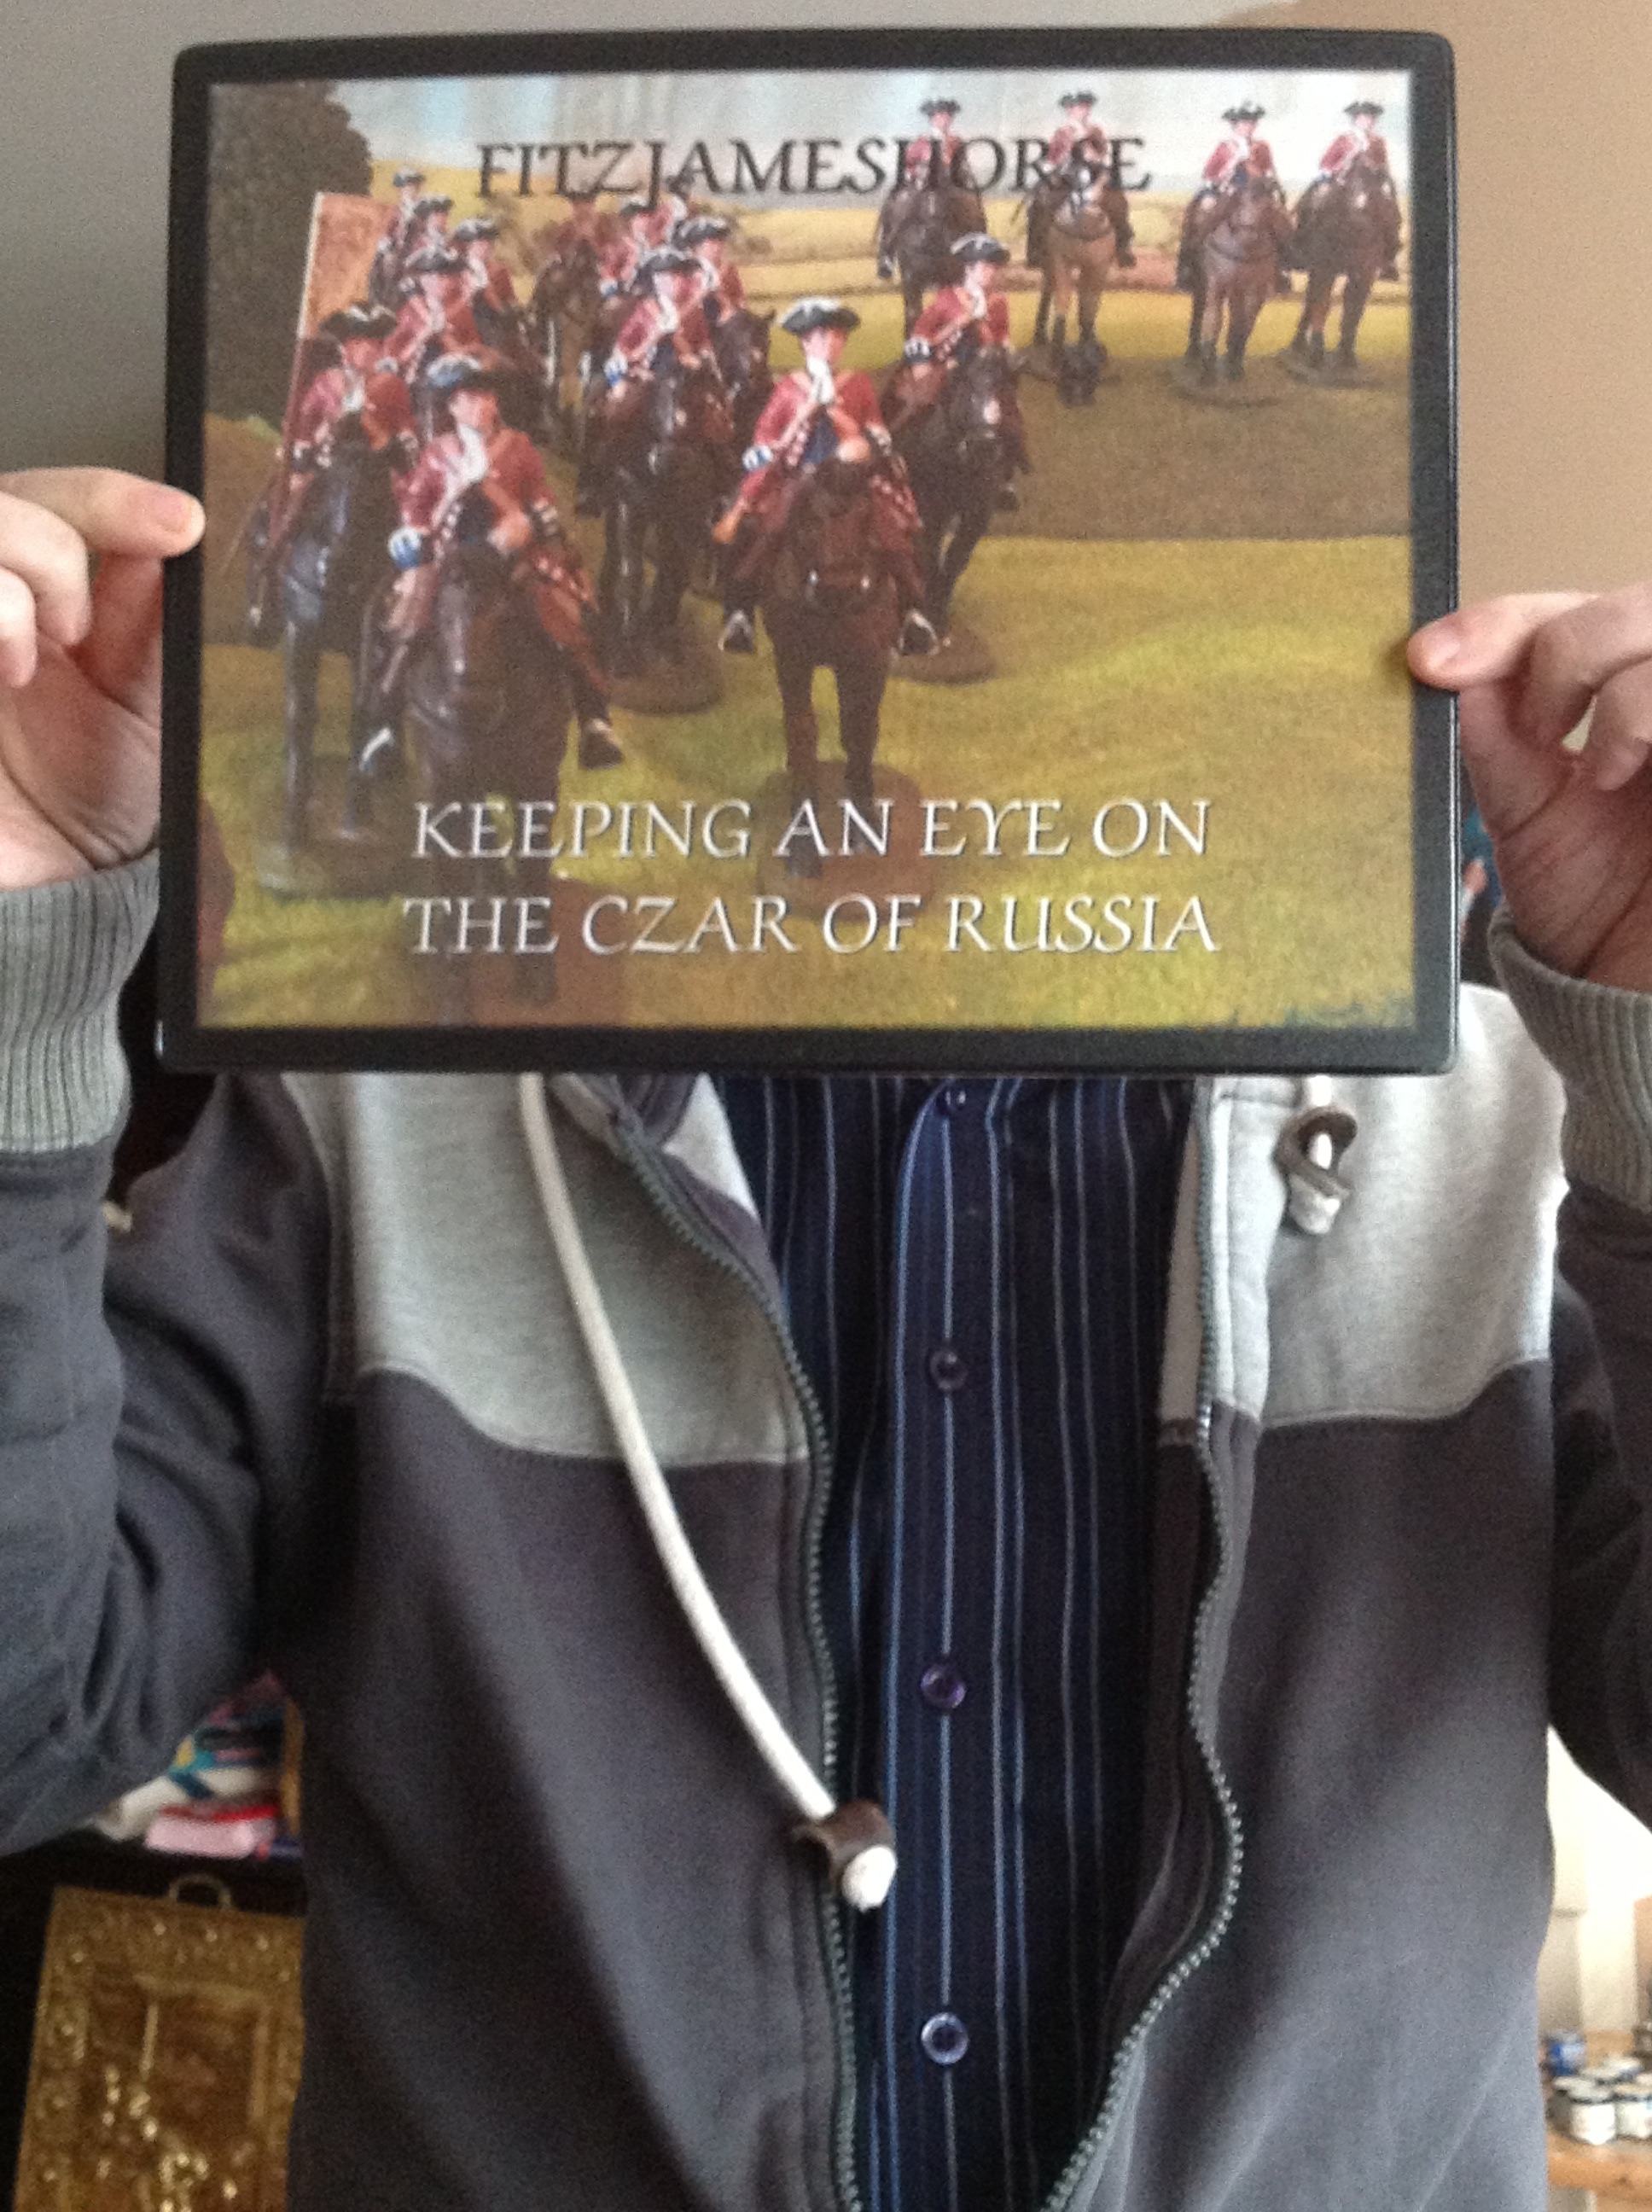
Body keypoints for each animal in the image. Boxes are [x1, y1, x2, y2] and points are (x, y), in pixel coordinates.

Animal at [596, 349, 730, 674]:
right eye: (660, 396)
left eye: (708, 404)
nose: (668, 460)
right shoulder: (630, 504)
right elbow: (632, 570)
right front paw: (626, 648)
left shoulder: (685, 522)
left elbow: (674, 575)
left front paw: (660, 637)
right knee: (614, 549)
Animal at [757, 458, 903, 861]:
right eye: (808, 515)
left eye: (868, 512)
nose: (839, 585)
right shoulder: (791, 659)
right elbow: (802, 730)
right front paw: (804, 837)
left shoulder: (870, 661)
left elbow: (861, 729)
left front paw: (865, 814)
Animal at [894, 342, 1019, 639]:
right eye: (964, 384)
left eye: (1005, 387)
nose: (983, 445)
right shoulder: (928, 508)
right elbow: (929, 556)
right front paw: (927, 613)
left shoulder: (978, 513)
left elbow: (956, 559)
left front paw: (938, 613)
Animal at [1185, 170, 1287, 383]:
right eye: (1241, 200)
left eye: (1269, 205)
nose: (1249, 234)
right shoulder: (1218, 284)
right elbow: (1215, 320)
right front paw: (1208, 368)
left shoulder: (1256, 289)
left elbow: (1246, 323)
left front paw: (1236, 362)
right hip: (1201, 280)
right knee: (1199, 307)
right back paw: (1193, 351)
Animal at [1287, 166, 1388, 374]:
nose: (1361, 224)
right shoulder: (1325, 267)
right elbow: (1324, 303)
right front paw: (1318, 354)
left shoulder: (1364, 272)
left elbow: (1352, 309)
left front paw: (1346, 354)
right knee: (1316, 299)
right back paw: (1305, 347)